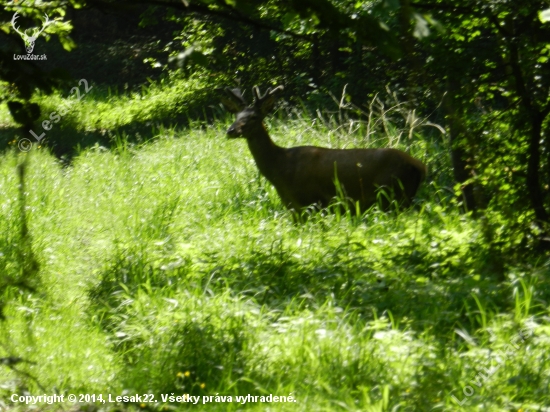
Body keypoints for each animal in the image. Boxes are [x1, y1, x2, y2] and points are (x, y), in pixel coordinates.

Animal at [222, 85, 430, 217]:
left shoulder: (313, 201)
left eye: (254, 117)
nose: (230, 130)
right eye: (236, 115)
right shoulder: (293, 206)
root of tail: (420, 167)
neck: (281, 170)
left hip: (392, 195)